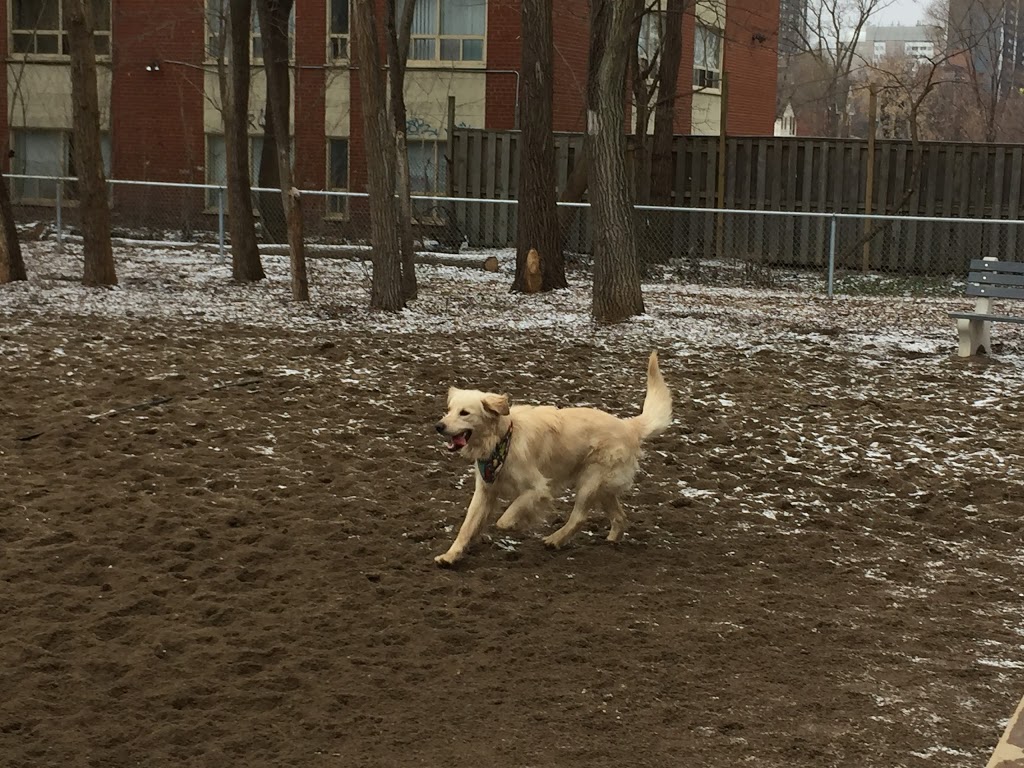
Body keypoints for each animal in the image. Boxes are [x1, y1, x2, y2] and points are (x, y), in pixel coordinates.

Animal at [432, 354, 671, 565]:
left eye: (464, 413)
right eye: (449, 410)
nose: (439, 426)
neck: (502, 439)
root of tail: (629, 426)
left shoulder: (538, 487)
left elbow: (507, 515)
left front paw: (513, 524)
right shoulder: (485, 490)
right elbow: (467, 526)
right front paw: (450, 556)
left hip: (590, 480)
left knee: (579, 517)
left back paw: (555, 540)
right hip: (602, 487)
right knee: (620, 517)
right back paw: (611, 540)